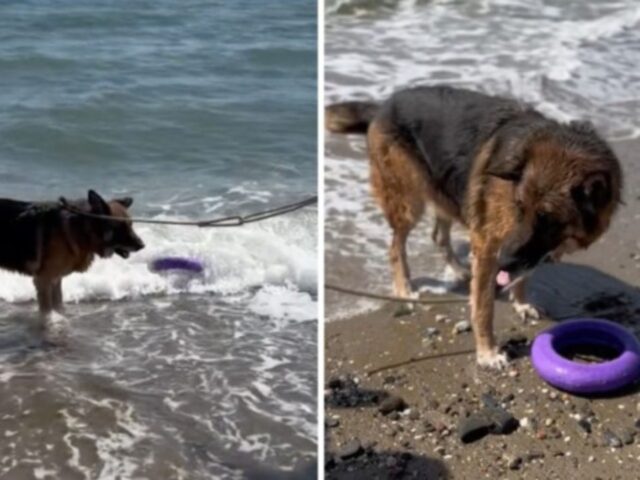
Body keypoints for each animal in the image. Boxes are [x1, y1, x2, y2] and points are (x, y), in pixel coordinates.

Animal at [0, 189, 145, 328]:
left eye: (131, 225)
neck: (82, 228)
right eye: (121, 227)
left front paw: (60, 319)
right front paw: (50, 323)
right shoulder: (44, 280)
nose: (142, 245)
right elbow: (47, 310)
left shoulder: (55, 279)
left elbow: (58, 304)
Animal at [328, 85, 624, 368]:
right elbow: (483, 307)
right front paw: (488, 353)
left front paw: (521, 303)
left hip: (447, 191)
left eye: (546, 217)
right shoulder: (489, 245)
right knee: (395, 247)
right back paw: (404, 290)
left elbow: (522, 276)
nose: (502, 263)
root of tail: (385, 103)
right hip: (409, 201)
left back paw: (459, 270)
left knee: (438, 235)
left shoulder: (522, 251)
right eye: (519, 206)